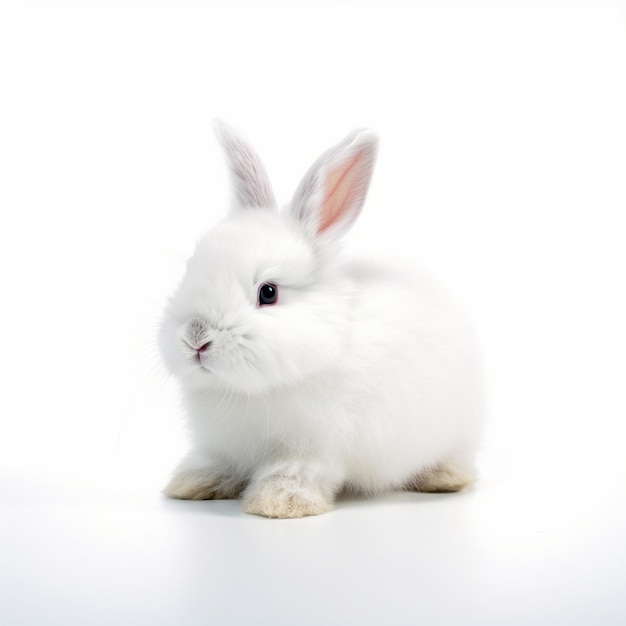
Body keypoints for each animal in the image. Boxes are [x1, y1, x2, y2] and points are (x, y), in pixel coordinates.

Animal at [161, 122, 482, 516]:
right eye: (190, 270)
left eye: (268, 292)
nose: (195, 338)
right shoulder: (223, 447)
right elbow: (217, 464)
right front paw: (192, 484)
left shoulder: (311, 447)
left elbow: (294, 472)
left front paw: (278, 502)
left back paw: (444, 478)